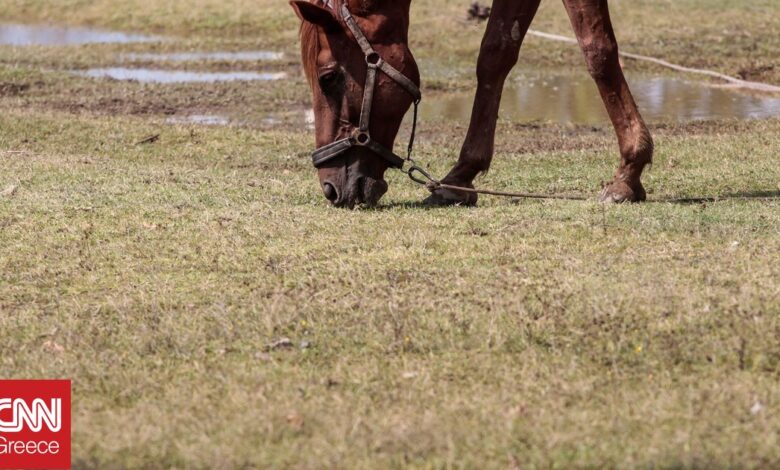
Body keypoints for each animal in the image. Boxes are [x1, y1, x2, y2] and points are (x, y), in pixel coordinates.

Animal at [290, 0, 652, 207]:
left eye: (328, 77)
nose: (330, 189)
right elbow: (495, 52)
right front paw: (462, 176)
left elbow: (597, 49)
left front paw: (628, 174)